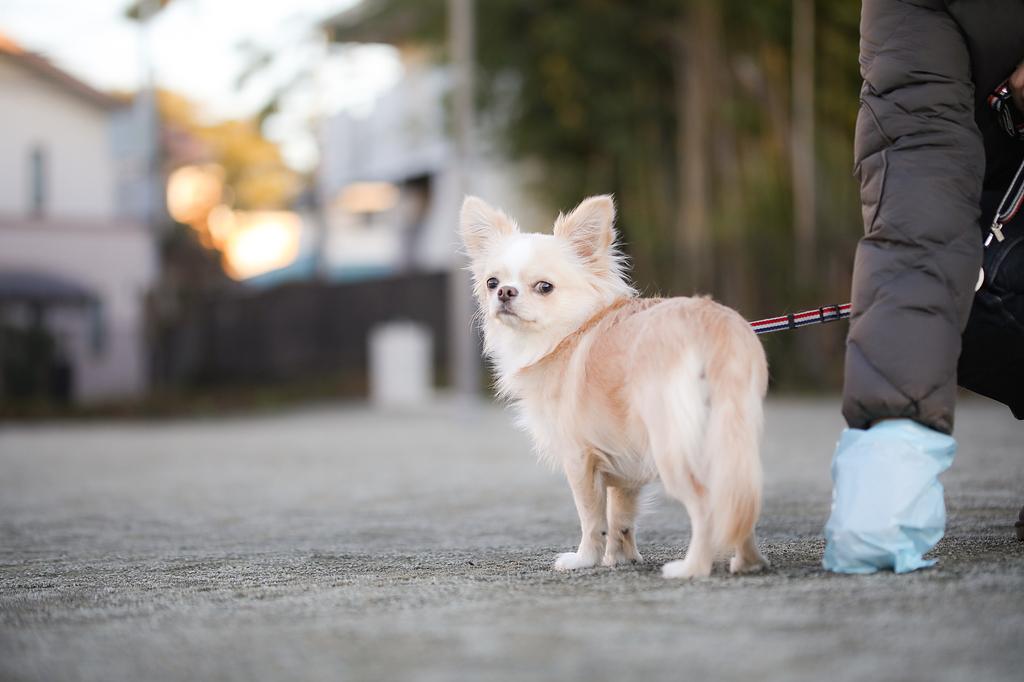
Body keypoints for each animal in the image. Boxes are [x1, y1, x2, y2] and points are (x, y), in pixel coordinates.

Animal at [458, 193, 770, 577]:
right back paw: (748, 562)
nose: (504, 292)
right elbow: (621, 516)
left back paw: (691, 568)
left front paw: (584, 560)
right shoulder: (623, 465)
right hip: (729, 435)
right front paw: (620, 559)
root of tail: (712, 327)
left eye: (544, 287)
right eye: (491, 282)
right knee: (740, 497)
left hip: (673, 447)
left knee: (705, 504)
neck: (569, 332)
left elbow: (592, 517)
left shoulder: (579, 459)